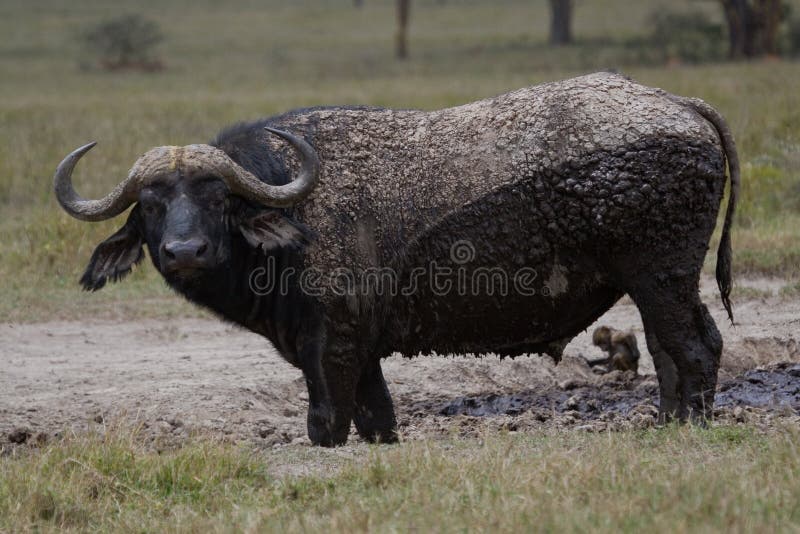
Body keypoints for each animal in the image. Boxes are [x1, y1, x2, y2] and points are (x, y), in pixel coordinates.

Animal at [51, 71, 736, 448]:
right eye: (150, 205)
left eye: (218, 198)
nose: (184, 251)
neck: (290, 208)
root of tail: (682, 105)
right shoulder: (363, 353)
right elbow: (380, 422)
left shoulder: (331, 349)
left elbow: (327, 425)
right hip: (658, 283)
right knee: (669, 351)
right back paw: (666, 423)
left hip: (662, 274)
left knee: (696, 347)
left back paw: (689, 427)